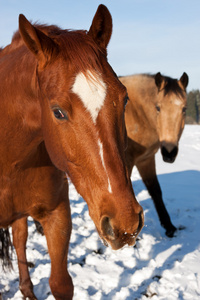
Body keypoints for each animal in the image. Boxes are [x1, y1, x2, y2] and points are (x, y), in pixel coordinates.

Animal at [0, 5, 144, 300]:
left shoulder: (58, 216)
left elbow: (60, 283)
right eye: (58, 112)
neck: (10, 160)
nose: (125, 222)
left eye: (124, 99)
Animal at [120, 71, 189, 238]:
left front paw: (169, 226)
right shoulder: (126, 161)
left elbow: (155, 190)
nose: (169, 152)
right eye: (158, 108)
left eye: (184, 109)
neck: (135, 114)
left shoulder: (146, 159)